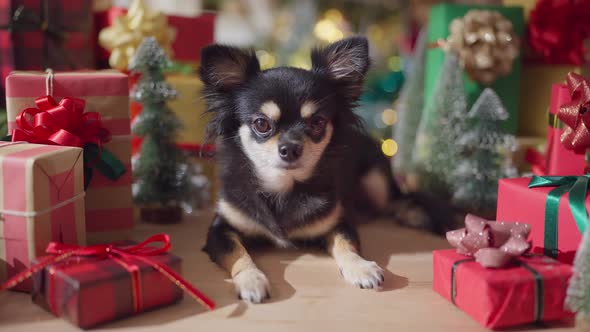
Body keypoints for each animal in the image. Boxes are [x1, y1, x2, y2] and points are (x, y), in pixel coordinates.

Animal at [201, 36, 442, 304]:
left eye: (317, 122)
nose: (290, 148)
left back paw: (411, 214)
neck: (283, 187)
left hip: (376, 182)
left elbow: (346, 244)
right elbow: (238, 253)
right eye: (262, 124)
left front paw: (361, 267)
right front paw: (251, 279)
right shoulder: (221, 229)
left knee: (395, 200)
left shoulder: (338, 222)